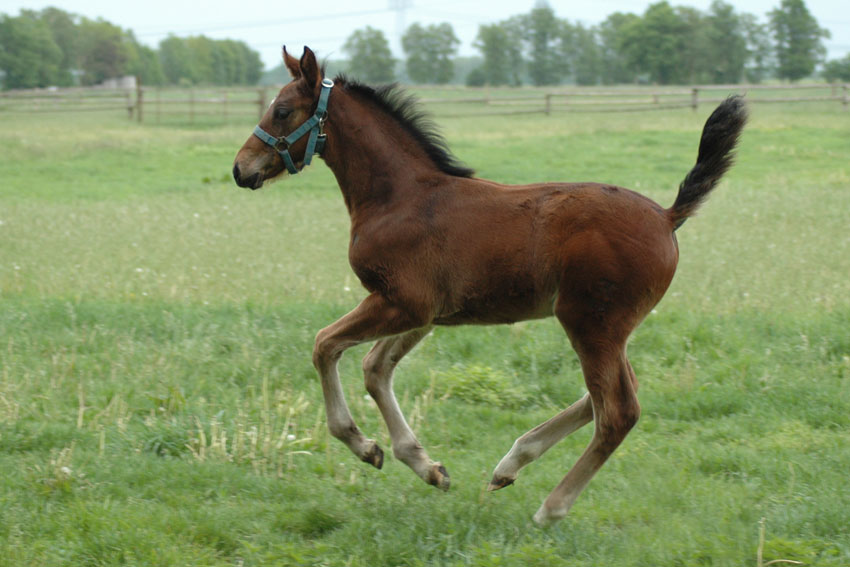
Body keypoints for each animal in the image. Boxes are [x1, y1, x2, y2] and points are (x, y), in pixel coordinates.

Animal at [230, 46, 744, 524]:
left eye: (281, 111)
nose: (240, 169)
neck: (400, 196)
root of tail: (667, 216)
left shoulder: (403, 303)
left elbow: (325, 345)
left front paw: (362, 444)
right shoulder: (425, 313)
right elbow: (376, 369)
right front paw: (426, 467)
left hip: (590, 323)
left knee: (617, 410)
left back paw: (550, 508)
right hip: (607, 328)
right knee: (609, 395)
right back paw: (511, 462)